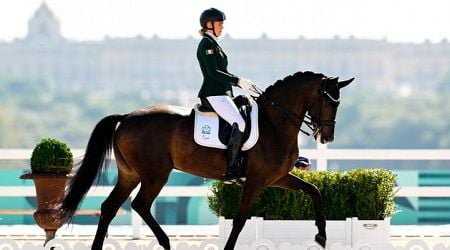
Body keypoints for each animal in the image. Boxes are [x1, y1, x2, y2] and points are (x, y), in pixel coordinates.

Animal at [59, 71, 354, 250]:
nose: (327, 137)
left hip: (130, 174)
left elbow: (314, 192)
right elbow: (240, 220)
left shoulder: (277, 177)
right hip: (155, 174)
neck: (275, 123)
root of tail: (126, 116)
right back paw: (166, 242)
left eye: (338, 103)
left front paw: (321, 236)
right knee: (140, 205)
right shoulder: (256, 181)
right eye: (329, 102)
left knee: (109, 207)